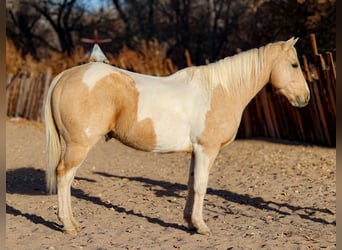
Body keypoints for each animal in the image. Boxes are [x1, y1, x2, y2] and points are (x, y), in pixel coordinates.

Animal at [44, 37, 310, 234]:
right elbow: (202, 186)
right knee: (64, 177)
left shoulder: (196, 152)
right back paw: (68, 225)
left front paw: (190, 222)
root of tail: (65, 76)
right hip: (78, 146)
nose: (305, 98)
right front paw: (201, 226)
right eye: (294, 65)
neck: (220, 90)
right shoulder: (207, 150)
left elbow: (192, 185)